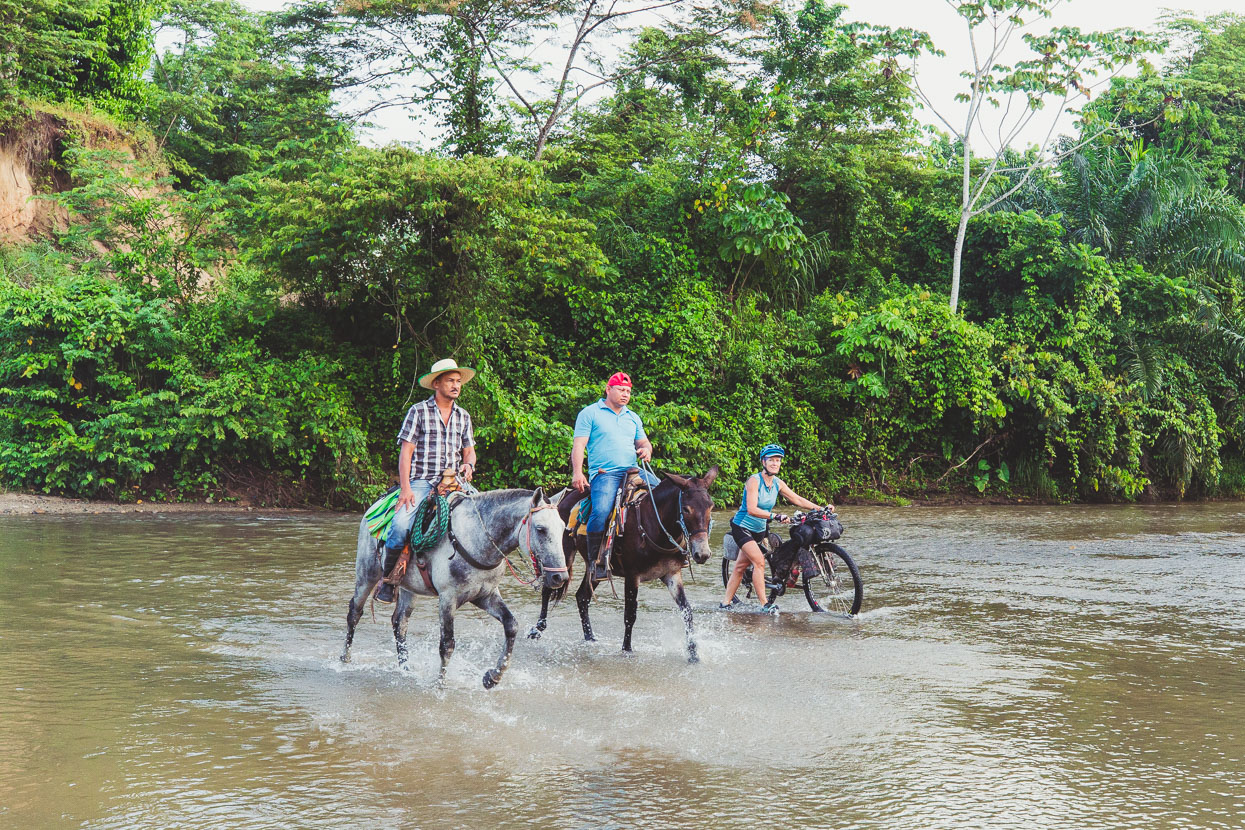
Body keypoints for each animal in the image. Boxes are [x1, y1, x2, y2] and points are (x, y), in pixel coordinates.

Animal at [338, 487, 567, 686]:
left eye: (563, 529)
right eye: (540, 529)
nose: (560, 577)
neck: (477, 538)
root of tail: (376, 505)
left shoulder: (486, 595)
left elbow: (511, 626)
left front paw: (492, 677)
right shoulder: (448, 598)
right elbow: (447, 644)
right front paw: (440, 685)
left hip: (408, 587)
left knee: (399, 622)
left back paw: (406, 668)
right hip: (366, 575)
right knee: (354, 613)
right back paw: (345, 660)